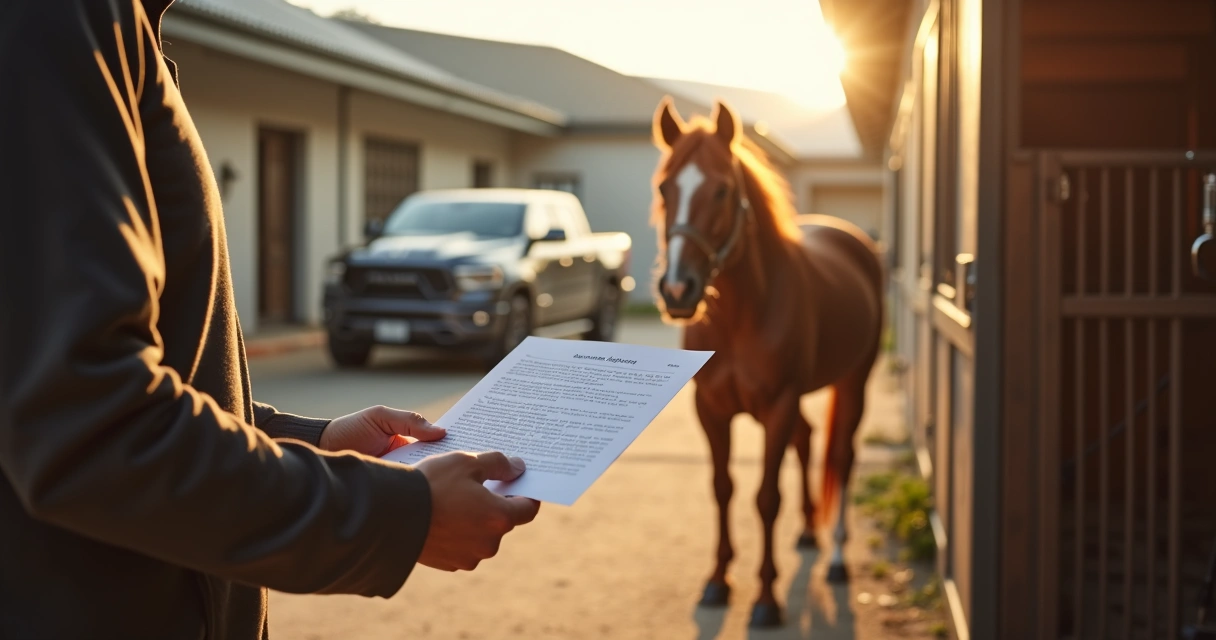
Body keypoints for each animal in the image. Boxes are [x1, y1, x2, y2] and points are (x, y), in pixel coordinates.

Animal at [649, 97, 884, 627]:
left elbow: (766, 498)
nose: (677, 291)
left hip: (855, 383)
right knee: (809, 439)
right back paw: (809, 531)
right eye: (665, 187)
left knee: (842, 455)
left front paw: (766, 599)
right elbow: (723, 487)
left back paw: (836, 559)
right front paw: (717, 582)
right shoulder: (711, 409)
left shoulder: (778, 405)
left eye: (722, 190)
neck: (742, 315)